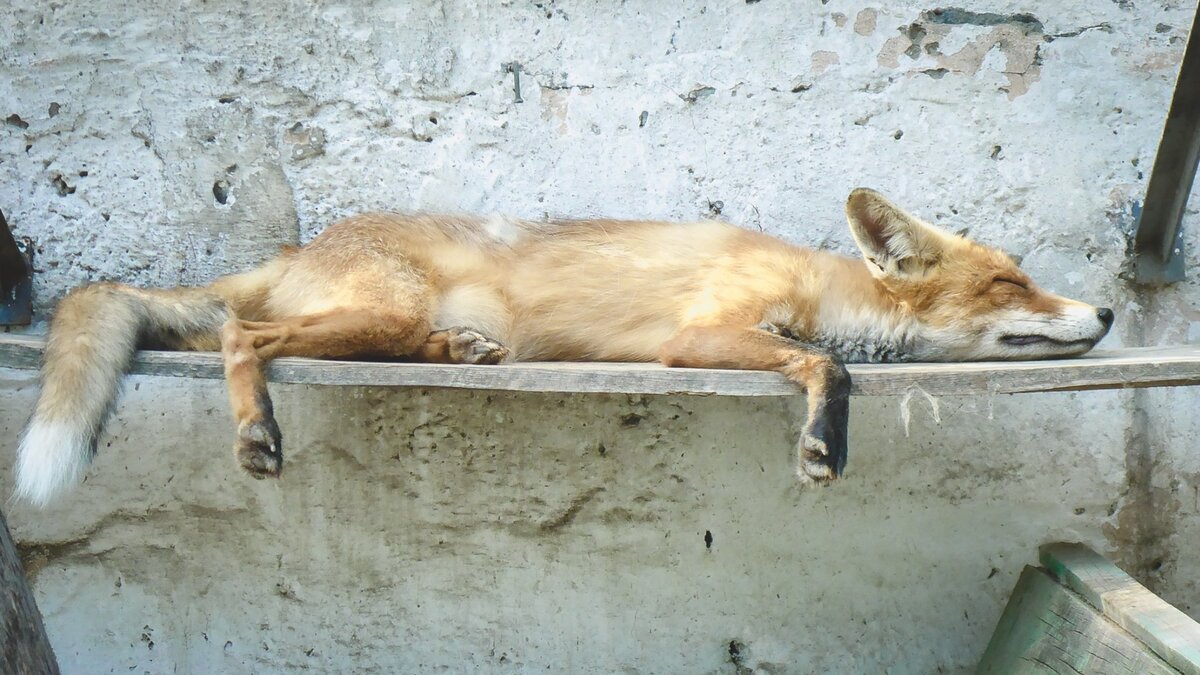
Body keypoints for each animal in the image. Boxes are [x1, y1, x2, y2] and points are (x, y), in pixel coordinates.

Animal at [14, 188, 1113, 505]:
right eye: (1011, 282)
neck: (813, 281)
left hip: (391, 323)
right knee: (245, 333)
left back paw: (461, 354)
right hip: (368, 314)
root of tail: (301, 247)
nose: (1104, 312)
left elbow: (822, 357)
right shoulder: (702, 334)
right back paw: (256, 432)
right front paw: (823, 443)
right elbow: (826, 364)